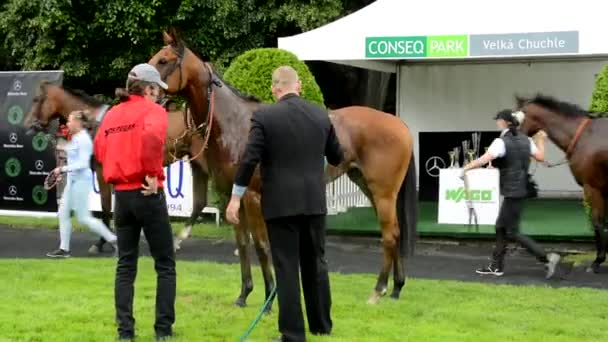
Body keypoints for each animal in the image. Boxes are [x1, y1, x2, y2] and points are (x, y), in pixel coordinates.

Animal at [22, 81, 213, 250]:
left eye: (37, 99)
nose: (27, 124)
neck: (94, 124)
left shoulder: (101, 172)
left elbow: (106, 207)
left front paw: (101, 242)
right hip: (197, 164)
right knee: (199, 202)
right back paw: (177, 240)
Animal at [147, 29, 418, 306]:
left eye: (164, 60)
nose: (143, 86)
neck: (237, 123)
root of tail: (400, 124)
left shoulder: (252, 196)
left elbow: (261, 244)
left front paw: (269, 296)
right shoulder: (232, 195)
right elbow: (243, 243)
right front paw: (244, 294)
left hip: (383, 193)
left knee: (389, 235)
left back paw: (379, 289)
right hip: (367, 186)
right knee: (395, 232)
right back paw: (396, 288)